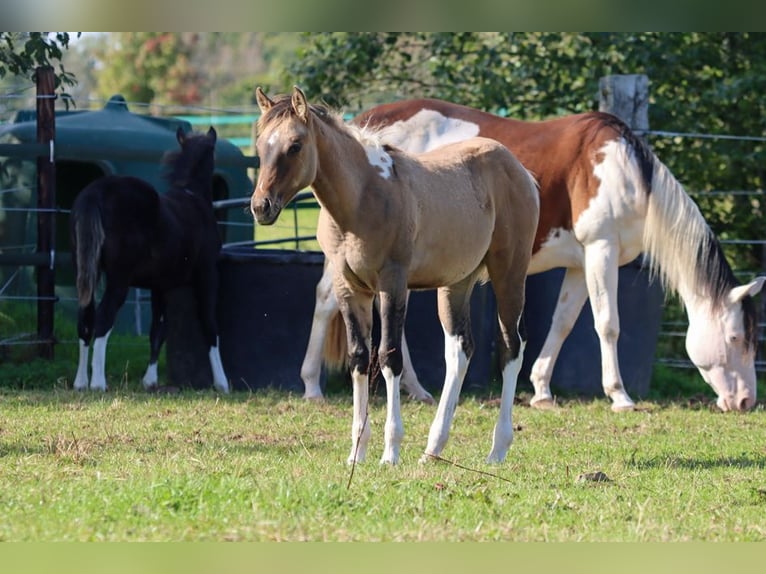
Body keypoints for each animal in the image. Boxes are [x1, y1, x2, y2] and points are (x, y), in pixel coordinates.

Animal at [70, 126, 230, 394]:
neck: (193, 199)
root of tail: (95, 193)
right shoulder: (208, 275)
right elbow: (210, 325)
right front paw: (222, 382)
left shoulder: (160, 286)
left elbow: (158, 330)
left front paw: (150, 380)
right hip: (118, 280)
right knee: (103, 319)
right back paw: (98, 383)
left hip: (87, 272)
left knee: (86, 318)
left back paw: (81, 382)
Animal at [251, 87, 539, 464]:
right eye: (259, 145)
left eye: (295, 145)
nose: (261, 207)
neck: (362, 200)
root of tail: (519, 169)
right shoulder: (350, 289)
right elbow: (359, 358)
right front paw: (357, 452)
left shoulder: (392, 284)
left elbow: (389, 357)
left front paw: (390, 451)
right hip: (455, 284)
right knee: (459, 350)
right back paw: (433, 448)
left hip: (509, 273)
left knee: (512, 346)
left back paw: (497, 449)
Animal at [302, 98, 765, 413]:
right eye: (737, 339)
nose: (745, 402)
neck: (626, 172)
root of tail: (359, 126)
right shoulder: (602, 250)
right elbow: (607, 325)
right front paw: (619, 395)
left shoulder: (580, 264)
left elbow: (562, 324)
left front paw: (541, 389)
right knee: (325, 299)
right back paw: (311, 386)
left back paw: (415, 390)